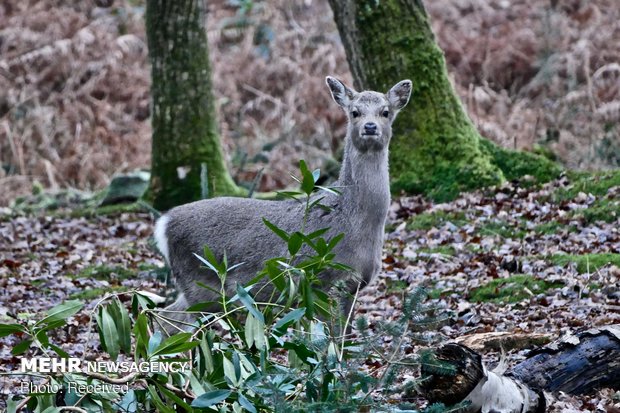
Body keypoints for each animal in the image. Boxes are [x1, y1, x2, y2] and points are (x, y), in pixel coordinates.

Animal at [153, 75, 412, 330]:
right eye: (355, 112)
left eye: (385, 112)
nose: (370, 127)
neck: (352, 219)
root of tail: (164, 223)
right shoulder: (325, 278)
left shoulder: (352, 287)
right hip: (200, 282)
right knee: (168, 320)